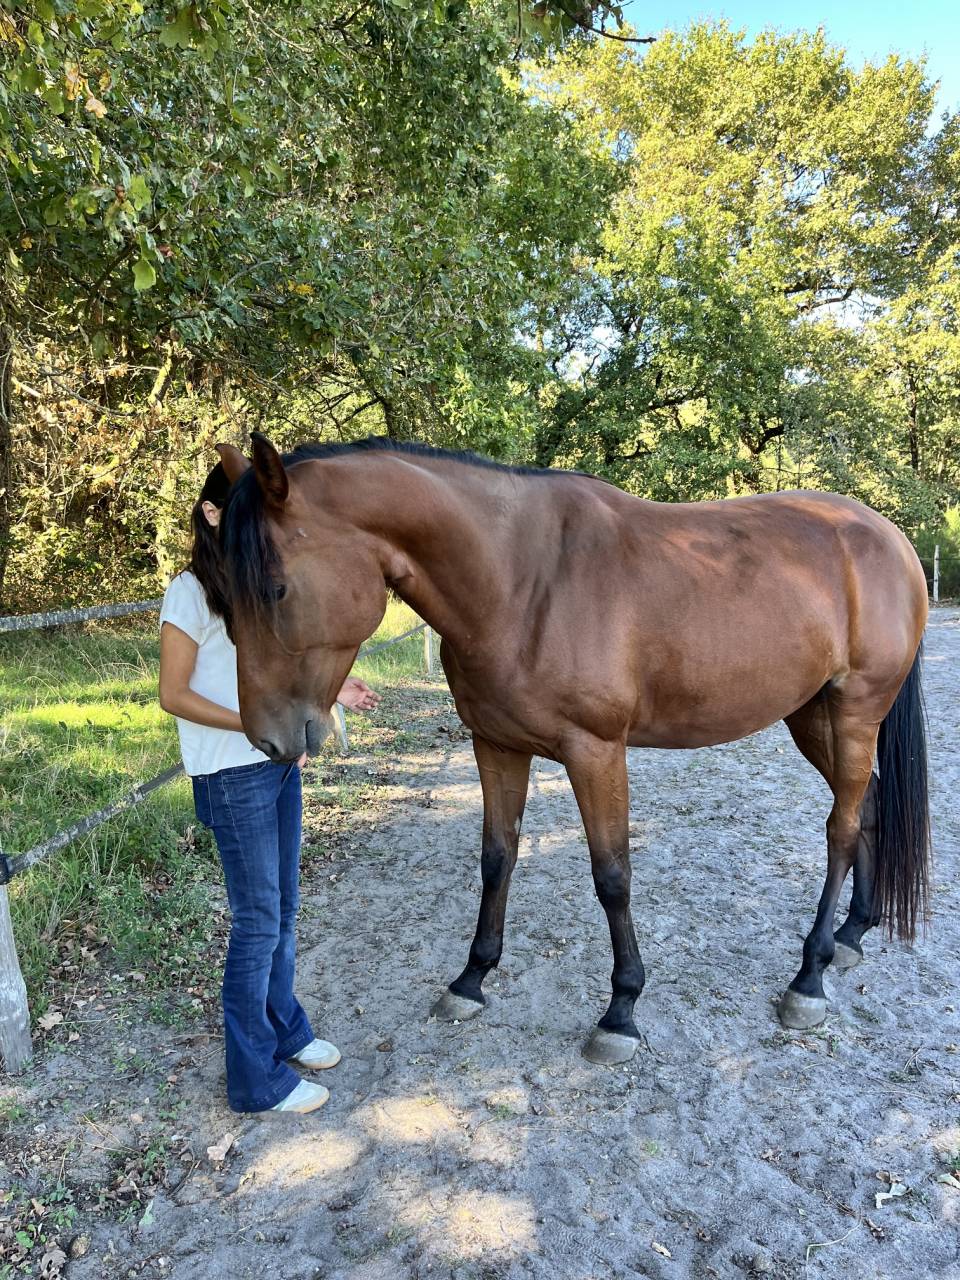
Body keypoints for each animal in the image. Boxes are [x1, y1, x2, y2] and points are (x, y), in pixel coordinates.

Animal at [215, 433, 931, 1065]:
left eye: (275, 589)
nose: (268, 738)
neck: (520, 583)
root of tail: (889, 537)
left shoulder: (597, 754)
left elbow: (612, 876)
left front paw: (621, 1012)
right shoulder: (495, 746)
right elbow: (497, 858)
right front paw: (471, 980)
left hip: (855, 712)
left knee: (840, 828)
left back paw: (809, 976)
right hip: (813, 717)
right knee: (866, 809)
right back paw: (851, 934)